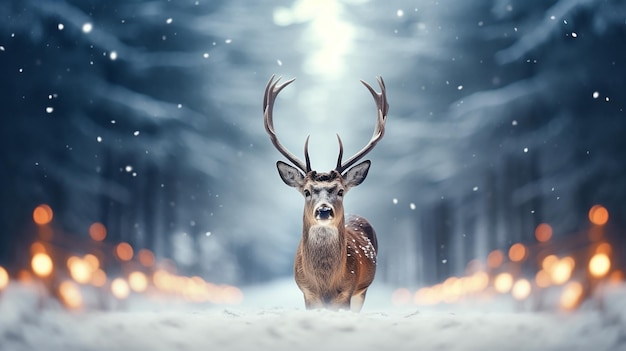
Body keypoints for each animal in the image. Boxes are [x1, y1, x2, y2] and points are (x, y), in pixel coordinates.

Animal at [260, 75, 388, 312]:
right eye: (306, 191)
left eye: (340, 191)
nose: (324, 211)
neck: (325, 285)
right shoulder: (307, 294)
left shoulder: (347, 293)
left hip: (362, 292)